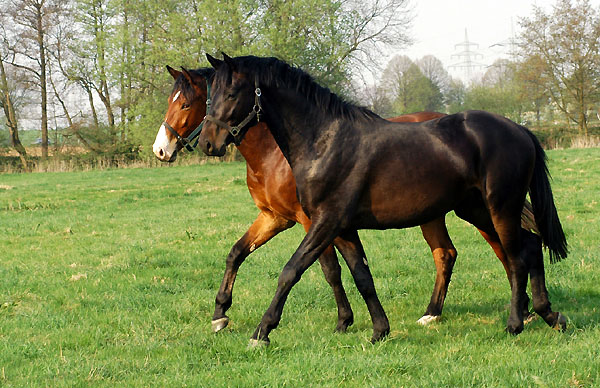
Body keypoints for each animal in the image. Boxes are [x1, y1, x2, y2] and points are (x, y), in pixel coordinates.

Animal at [198, 54, 568, 346]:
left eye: (231, 93)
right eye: (209, 97)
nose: (206, 143)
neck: (325, 140)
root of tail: (520, 130)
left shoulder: (324, 222)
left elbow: (291, 271)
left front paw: (261, 332)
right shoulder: (342, 227)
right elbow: (361, 275)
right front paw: (379, 330)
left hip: (500, 207)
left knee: (517, 257)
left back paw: (516, 323)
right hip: (476, 208)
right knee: (530, 247)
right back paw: (550, 315)